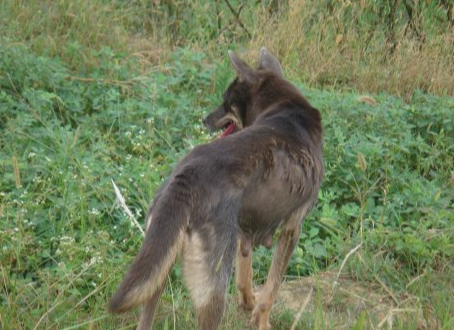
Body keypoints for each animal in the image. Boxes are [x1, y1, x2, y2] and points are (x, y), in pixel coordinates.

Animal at [109, 47, 322, 330]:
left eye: (225, 102)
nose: (204, 119)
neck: (285, 108)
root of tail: (186, 178)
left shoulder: (245, 228)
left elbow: (245, 276)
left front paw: (248, 303)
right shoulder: (292, 228)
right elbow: (272, 288)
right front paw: (262, 320)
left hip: (157, 273)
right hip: (212, 290)